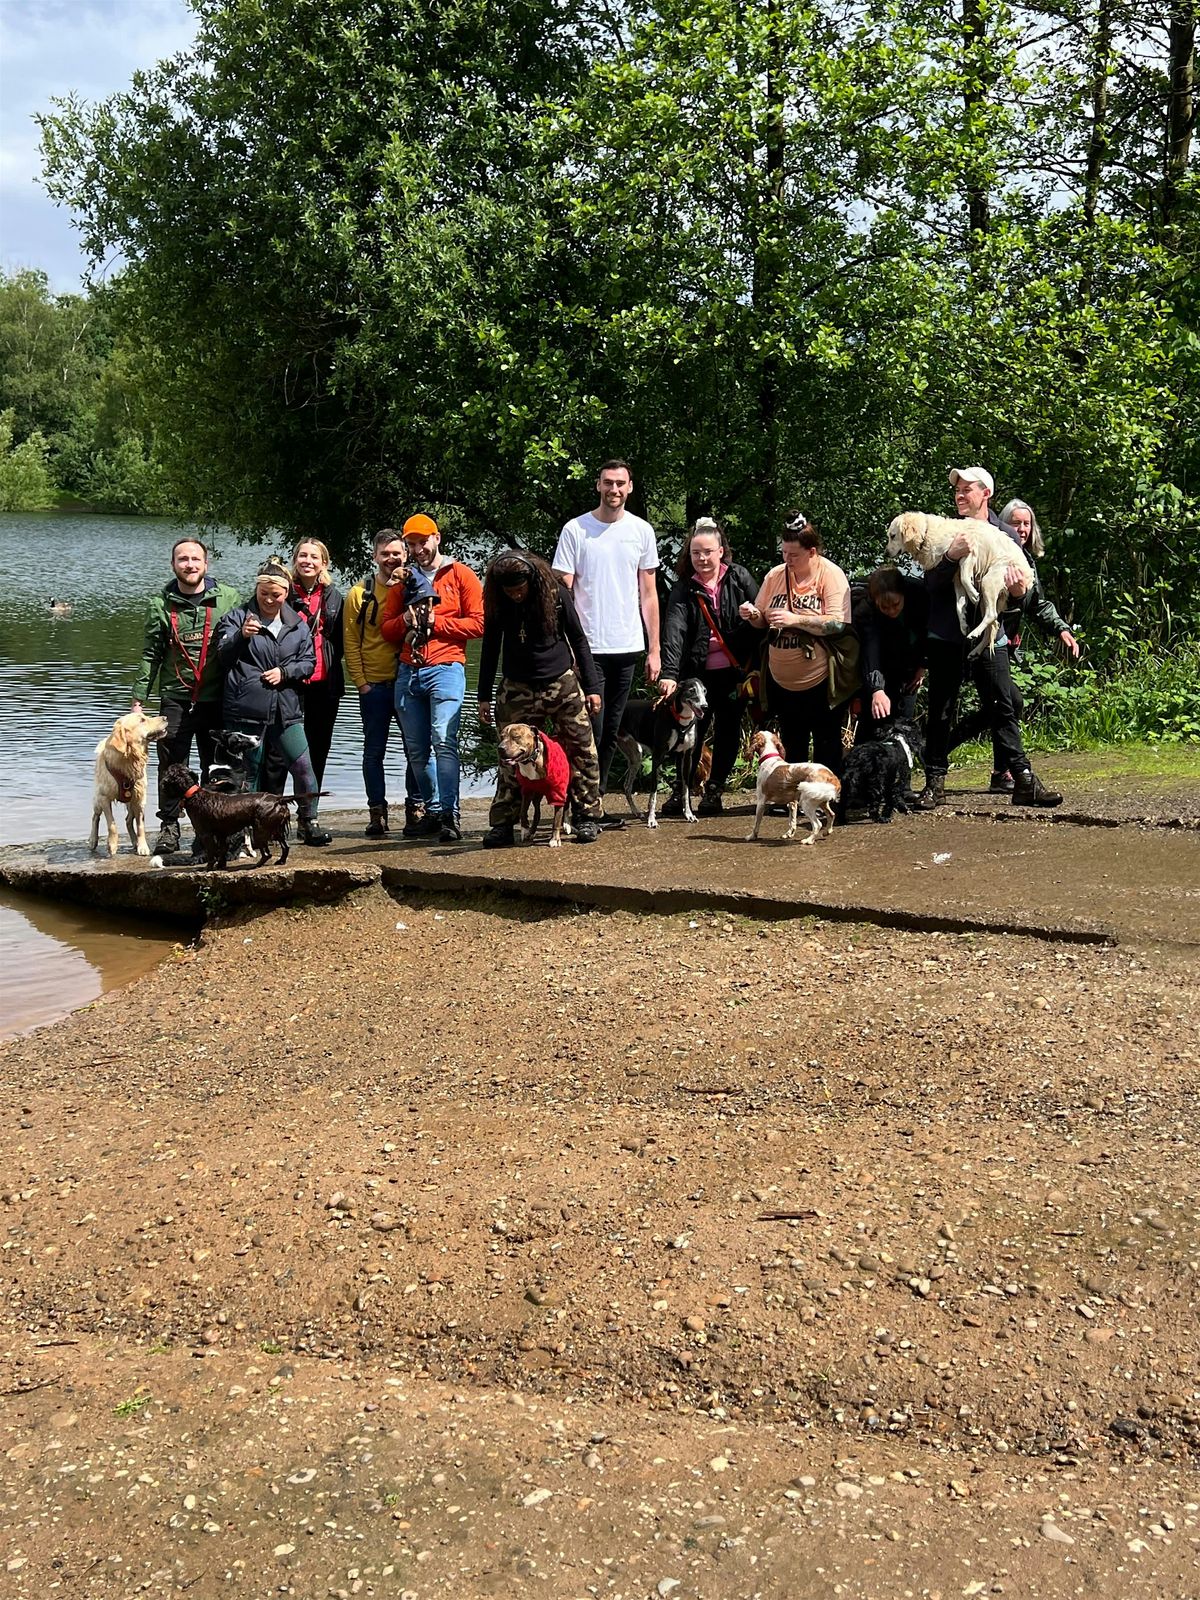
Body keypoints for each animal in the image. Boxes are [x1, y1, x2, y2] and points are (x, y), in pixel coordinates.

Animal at [89, 716, 168, 864]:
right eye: (142, 720)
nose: (165, 717)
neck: (129, 757)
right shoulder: (105, 798)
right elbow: (112, 824)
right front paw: (112, 845)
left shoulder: (140, 798)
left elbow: (140, 825)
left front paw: (142, 846)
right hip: (98, 799)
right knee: (95, 817)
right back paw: (92, 840)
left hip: (131, 801)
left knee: (128, 820)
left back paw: (135, 841)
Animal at [160, 764, 299, 876]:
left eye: (167, 774)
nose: (162, 786)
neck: (194, 795)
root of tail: (279, 799)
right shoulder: (221, 835)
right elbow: (222, 852)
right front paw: (220, 866)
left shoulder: (206, 834)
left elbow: (212, 854)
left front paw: (208, 869)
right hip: (275, 830)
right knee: (285, 847)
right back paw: (280, 861)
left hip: (260, 831)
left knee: (267, 854)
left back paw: (255, 865)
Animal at [620, 675, 704, 825]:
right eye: (692, 690)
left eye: (704, 691)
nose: (704, 706)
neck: (680, 721)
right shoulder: (658, 756)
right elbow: (653, 792)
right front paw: (652, 820)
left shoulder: (686, 756)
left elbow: (686, 789)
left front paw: (689, 814)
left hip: (636, 756)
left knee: (627, 786)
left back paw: (637, 812)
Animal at [883, 515, 1036, 659]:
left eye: (892, 536)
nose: (886, 553)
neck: (926, 533)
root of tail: (1030, 574)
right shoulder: (956, 578)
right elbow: (959, 604)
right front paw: (963, 623)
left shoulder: (968, 552)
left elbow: (964, 576)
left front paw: (973, 594)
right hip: (987, 598)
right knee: (993, 625)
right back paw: (975, 650)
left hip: (989, 580)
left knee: (991, 615)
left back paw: (974, 633)